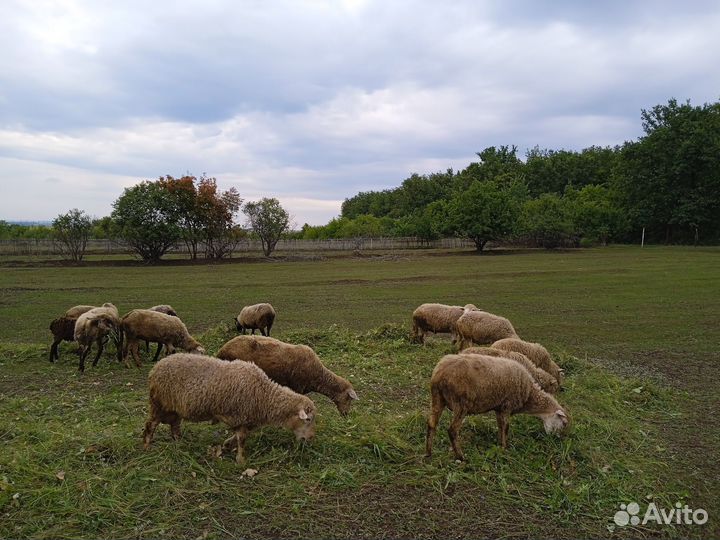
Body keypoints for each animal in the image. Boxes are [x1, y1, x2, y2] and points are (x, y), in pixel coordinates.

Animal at [143, 353, 317, 464]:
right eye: (307, 419)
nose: (310, 438)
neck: (264, 396)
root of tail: (156, 367)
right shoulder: (238, 414)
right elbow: (242, 439)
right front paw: (241, 460)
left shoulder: (245, 418)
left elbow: (240, 435)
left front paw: (227, 445)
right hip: (159, 403)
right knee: (151, 425)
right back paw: (147, 447)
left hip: (175, 408)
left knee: (174, 426)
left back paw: (179, 444)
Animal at [425, 354, 569, 460]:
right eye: (563, 423)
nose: (555, 440)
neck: (529, 394)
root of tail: (439, 374)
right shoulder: (507, 405)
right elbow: (506, 427)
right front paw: (505, 448)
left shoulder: (499, 408)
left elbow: (500, 426)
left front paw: (500, 443)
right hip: (461, 404)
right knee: (452, 430)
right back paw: (461, 457)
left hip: (437, 398)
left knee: (431, 424)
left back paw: (428, 453)